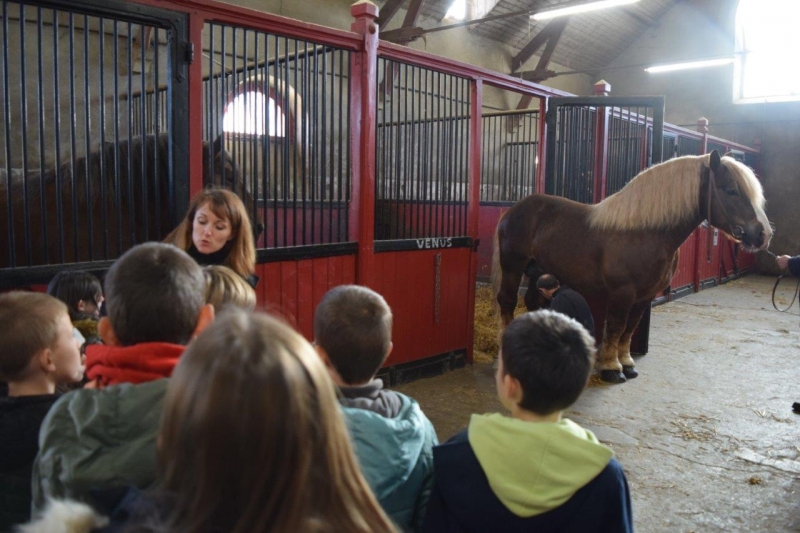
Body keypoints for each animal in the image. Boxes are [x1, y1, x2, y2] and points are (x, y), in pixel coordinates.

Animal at [490, 150, 772, 382]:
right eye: (731, 190)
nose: (763, 234)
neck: (645, 233)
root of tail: (515, 209)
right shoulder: (622, 293)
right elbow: (616, 328)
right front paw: (611, 368)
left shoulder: (644, 296)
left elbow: (629, 329)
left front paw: (627, 364)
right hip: (513, 266)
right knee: (507, 301)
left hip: (537, 270)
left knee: (532, 300)